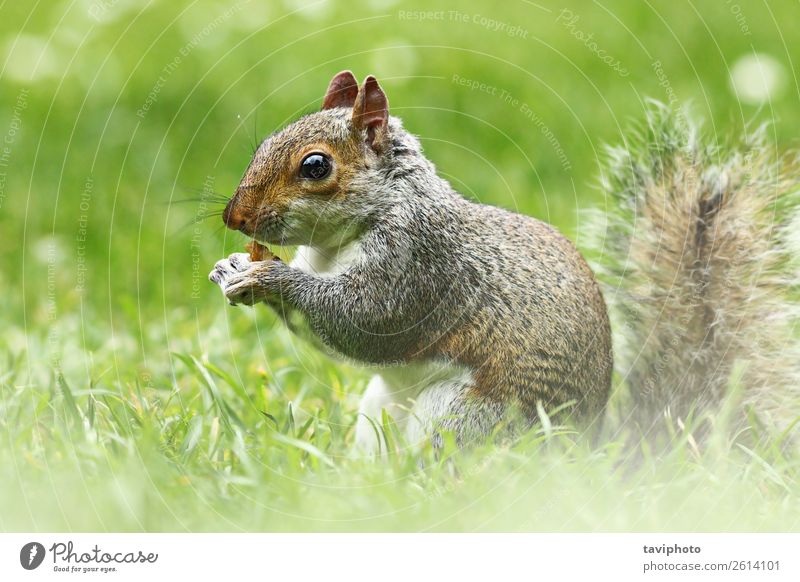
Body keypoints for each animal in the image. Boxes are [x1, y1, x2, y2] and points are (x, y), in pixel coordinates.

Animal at [208, 69, 800, 452]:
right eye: (265, 142)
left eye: (315, 166)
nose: (235, 218)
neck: (347, 235)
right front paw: (231, 267)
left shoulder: (421, 263)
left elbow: (366, 320)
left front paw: (270, 276)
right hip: (381, 410)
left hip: (466, 418)